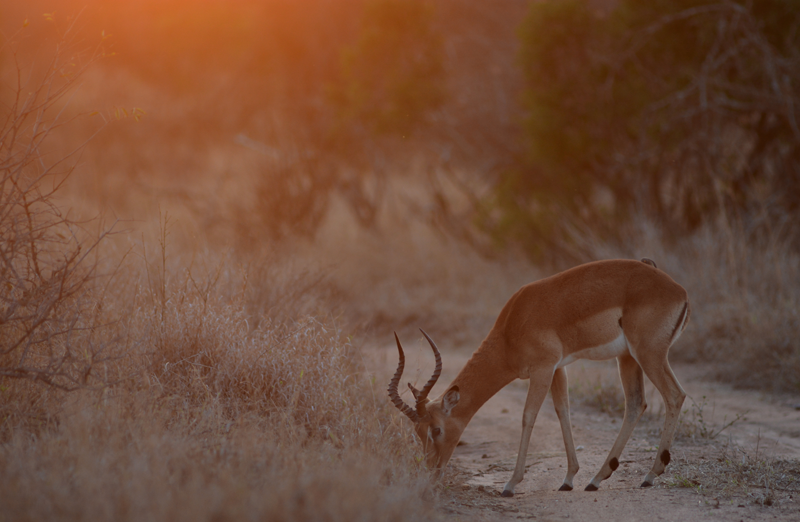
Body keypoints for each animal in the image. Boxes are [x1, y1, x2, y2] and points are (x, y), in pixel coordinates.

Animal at [388, 258, 689, 496]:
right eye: (417, 432)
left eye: (437, 429)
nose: (432, 471)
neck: (511, 327)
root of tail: (679, 290)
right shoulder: (557, 368)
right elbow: (562, 411)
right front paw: (568, 479)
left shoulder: (543, 368)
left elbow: (528, 416)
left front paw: (511, 484)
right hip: (627, 358)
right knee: (636, 403)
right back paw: (596, 479)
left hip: (648, 355)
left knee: (675, 395)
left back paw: (650, 475)